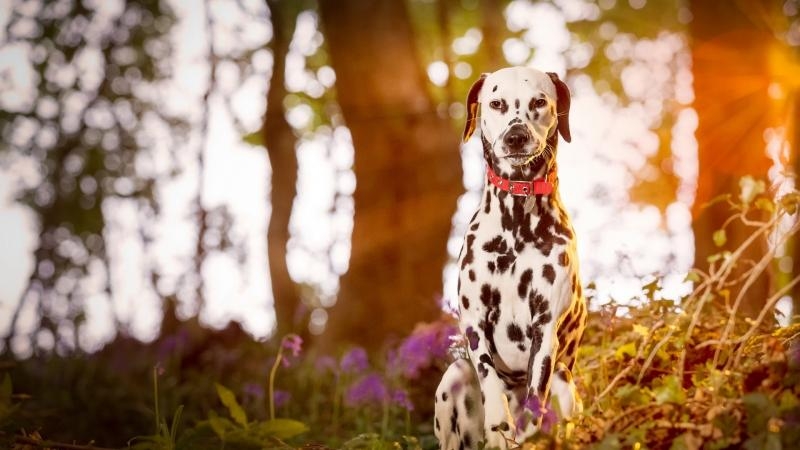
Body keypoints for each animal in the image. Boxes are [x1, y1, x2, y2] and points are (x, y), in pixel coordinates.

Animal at [438, 67, 588, 450]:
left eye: (539, 101)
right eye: (496, 103)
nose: (516, 137)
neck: (517, 221)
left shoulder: (545, 326)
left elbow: (536, 397)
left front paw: (525, 427)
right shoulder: (475, 321)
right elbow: (490, 380)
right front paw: (498, 425)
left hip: (565, 381)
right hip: (453, 377)